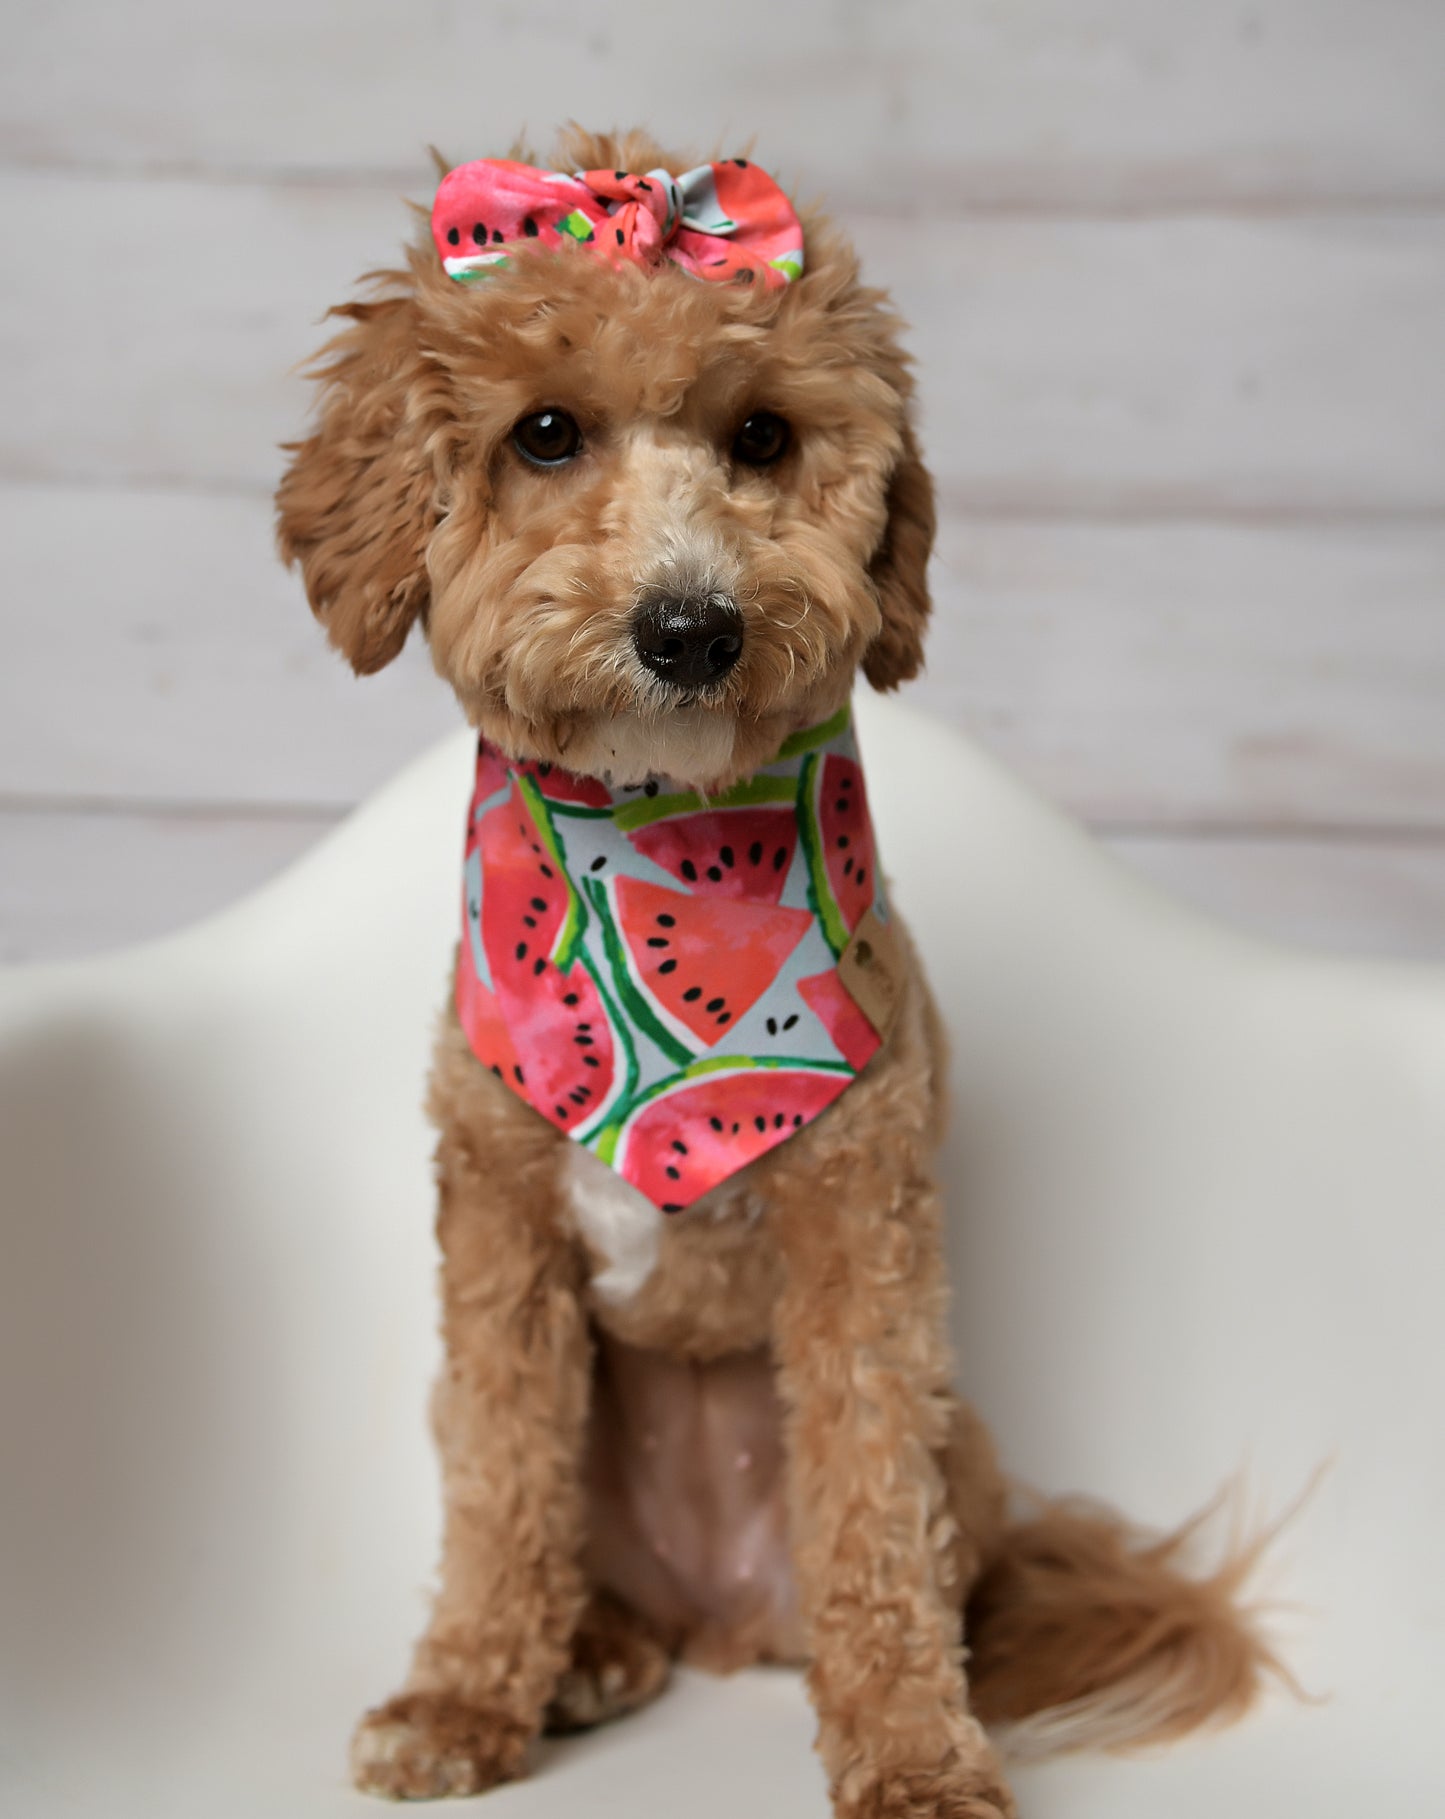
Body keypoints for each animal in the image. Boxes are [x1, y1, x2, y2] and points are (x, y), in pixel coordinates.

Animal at [276, 124, 1281, 1804]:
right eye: (544, 433)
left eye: (760, 435)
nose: (690, 625)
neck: (651, 852)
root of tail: (718, 1613)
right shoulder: (494, 1235)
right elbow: (500, 1490)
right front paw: (461, 1696)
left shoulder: (860, 1234)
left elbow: (872, 1507)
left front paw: (915, 1751)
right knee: (566, 1541)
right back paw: (590, 1648)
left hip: (964, 1437)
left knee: (923, 1555)